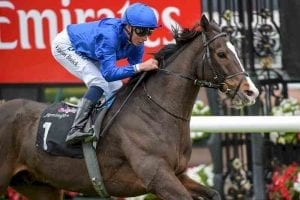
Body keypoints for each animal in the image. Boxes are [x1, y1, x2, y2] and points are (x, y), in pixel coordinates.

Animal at [0, 16, 258, 200]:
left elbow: (214, 192)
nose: (251, 91)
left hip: (39, 186)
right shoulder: (159, 178)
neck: (155, 112)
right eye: (221, 53)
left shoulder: (178, 174)